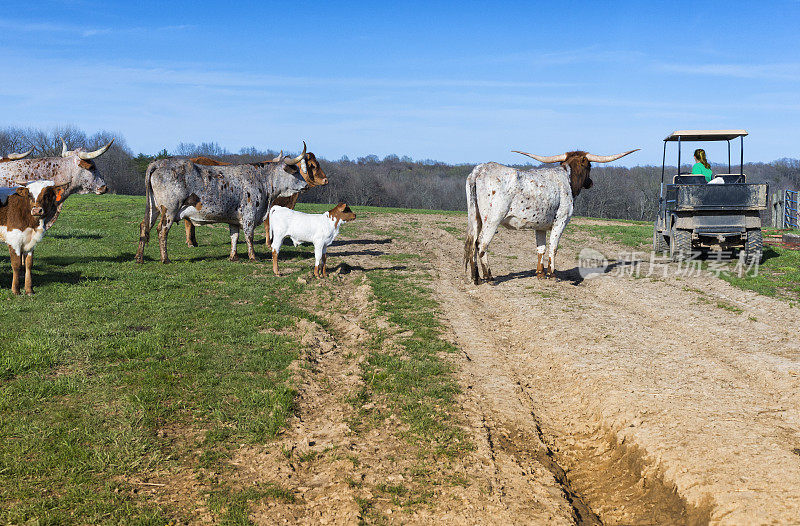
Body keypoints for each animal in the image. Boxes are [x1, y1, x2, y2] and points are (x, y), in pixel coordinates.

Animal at [184, 142, 328, 250]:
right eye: (313, 166)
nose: (326, 180)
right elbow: (268, 225)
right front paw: (269, 243)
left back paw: (193, 242)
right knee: (188, 223)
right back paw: (190, 243)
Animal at [462, 148, 636, 284]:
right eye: (590, 166)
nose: (591, 183)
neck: (567, 177)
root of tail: (480, 169)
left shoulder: (540, 225)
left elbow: (541, 248)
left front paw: (540, 273)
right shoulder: (561, 221)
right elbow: (553, 246)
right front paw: (551, 274)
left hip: (475, 217)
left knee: (471, 243)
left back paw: (475, 278)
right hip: (492, 219)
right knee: (481, 244)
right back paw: (489, 277)